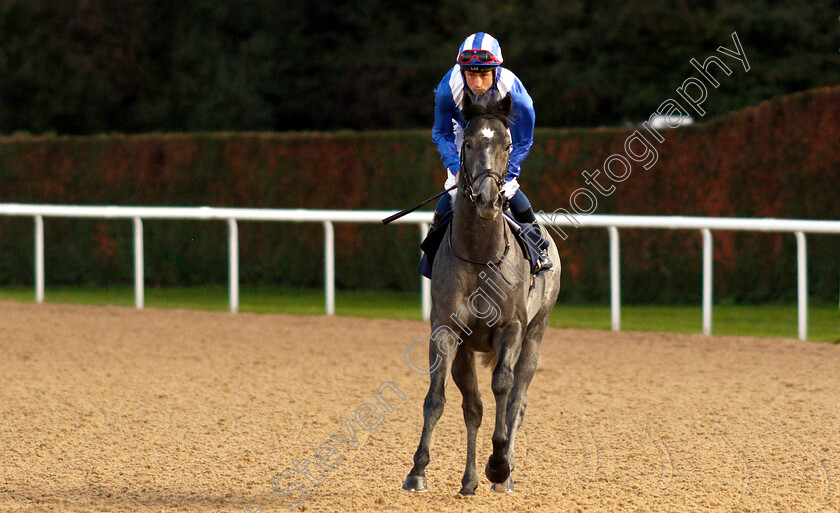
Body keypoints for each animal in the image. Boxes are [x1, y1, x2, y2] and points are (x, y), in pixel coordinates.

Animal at [402, 94, 560, 494]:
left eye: (506, 144)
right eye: (469, 143)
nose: (489, 199)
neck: (479, 255)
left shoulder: (511, 327)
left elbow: (503, 387)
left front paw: (499, 464)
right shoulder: (446, 331)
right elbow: (438, 398)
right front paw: (418, 470)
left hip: (536, 335)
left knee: (517, 400)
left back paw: (504, 472)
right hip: (467, 349)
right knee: (473, 407)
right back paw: (470, 479)